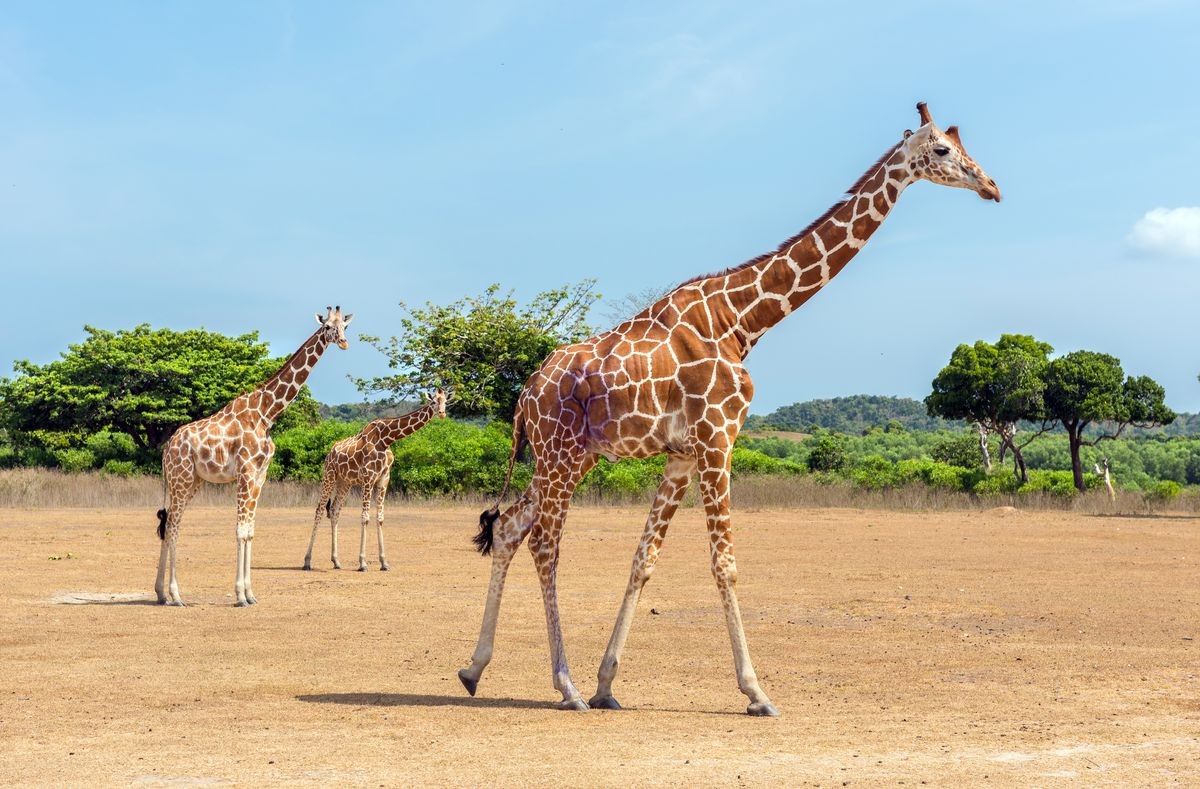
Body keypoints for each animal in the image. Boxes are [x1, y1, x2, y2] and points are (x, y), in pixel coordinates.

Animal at [154, 304, 352, 604]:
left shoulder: (260, 475)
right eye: (328, 326)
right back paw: (175, 595)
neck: (266, 413)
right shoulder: (245, 472)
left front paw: (250, 594)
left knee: (170, 524)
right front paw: (239, 595)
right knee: (174, 525)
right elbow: (239, 530)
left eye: (346, 326)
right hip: (181, 478)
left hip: (193, 481)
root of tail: (168, 448)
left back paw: (161, 594)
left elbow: (249, 532)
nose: (343, 342)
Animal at [304, 388, 451, 568]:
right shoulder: (368, 478)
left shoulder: (383, 479)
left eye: (446, 401)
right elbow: (365, 517)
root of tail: (330, 452)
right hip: (329, 475)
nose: (442, 413)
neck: (387, 439)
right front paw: (362, 563)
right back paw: (307, 561)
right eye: (433, 402)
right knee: (319, 510)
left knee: (334, 510)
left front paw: (384, 562)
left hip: (345, 482)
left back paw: (336, 561)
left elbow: (380, 518)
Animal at [453, 103, 998, 714]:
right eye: (944, 150)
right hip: (561, 454)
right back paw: (563, 685)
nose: (991, 187)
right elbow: (725, 565)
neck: (743, 318)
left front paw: (608, 683)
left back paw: (475, 669)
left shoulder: (682, 454)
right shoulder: (718, 437)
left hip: (568, 456)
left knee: (508, 528)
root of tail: (525, 395)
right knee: (544, 544)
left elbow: (645, 559)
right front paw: (756, 691)